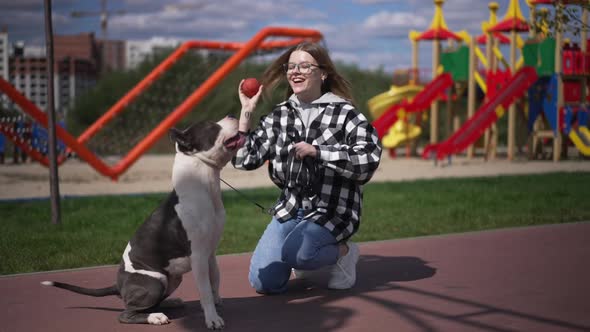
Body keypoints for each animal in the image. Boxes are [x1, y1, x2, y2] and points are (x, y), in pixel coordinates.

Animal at [41, 115, 245, 328]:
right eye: (211, 126)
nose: (232, 116)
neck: (204, 187)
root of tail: (119, 285)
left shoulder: (210, 253)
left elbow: (215, 281)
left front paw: (217, 303)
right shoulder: (198, 256)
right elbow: (205, 291)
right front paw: (212, 318)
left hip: (173, 278)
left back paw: (169, 303)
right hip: (156, 279)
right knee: (127, 313)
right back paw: (154, 317)